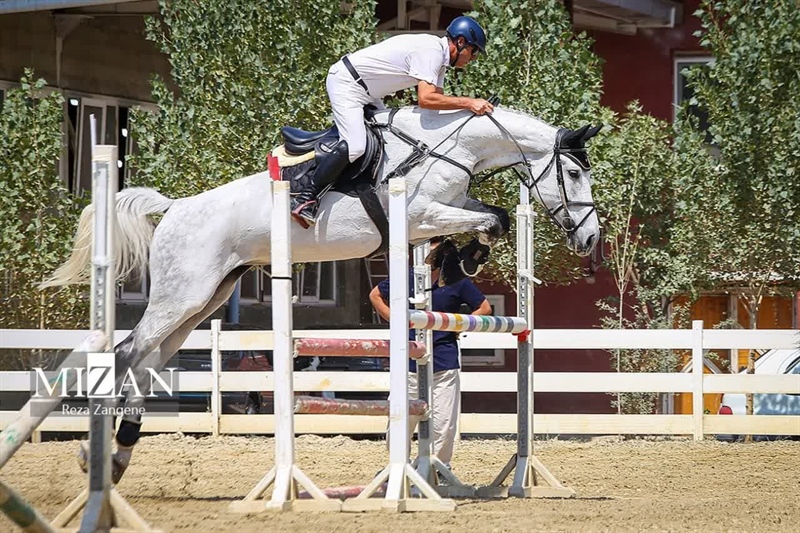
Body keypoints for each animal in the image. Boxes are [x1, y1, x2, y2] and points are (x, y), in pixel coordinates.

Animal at [39, 104, 600, 478]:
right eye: (573, 172)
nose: (591, 239)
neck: (450, 148)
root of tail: (176, 207)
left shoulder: (441, 215)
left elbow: (491, 218)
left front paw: (465, 257)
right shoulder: (421, 213)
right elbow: (492, 219)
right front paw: (472, 251)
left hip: (206, 298)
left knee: (149, 359)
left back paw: (119, 455)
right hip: (183, 294)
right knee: (127, 351)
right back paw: (94, 454)